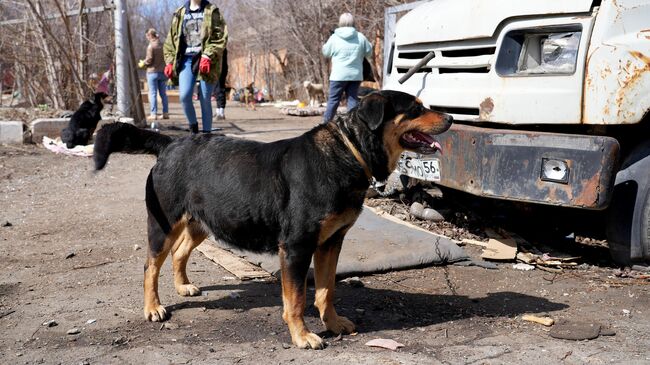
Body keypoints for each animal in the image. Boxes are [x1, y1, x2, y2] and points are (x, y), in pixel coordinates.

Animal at [92, 89, 450, 348]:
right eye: (415, 108)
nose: (449, 116)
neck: (347, 152)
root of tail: (170, 143)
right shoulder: (296, 247)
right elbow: (297, 298)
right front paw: (302, 335)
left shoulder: (331, 243)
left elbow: (326, 291)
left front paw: (332, 323)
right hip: (163, 224)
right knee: (150, 266)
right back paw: (153, 307)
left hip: (202, 223)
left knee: (179, 253)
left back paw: (183, 287)